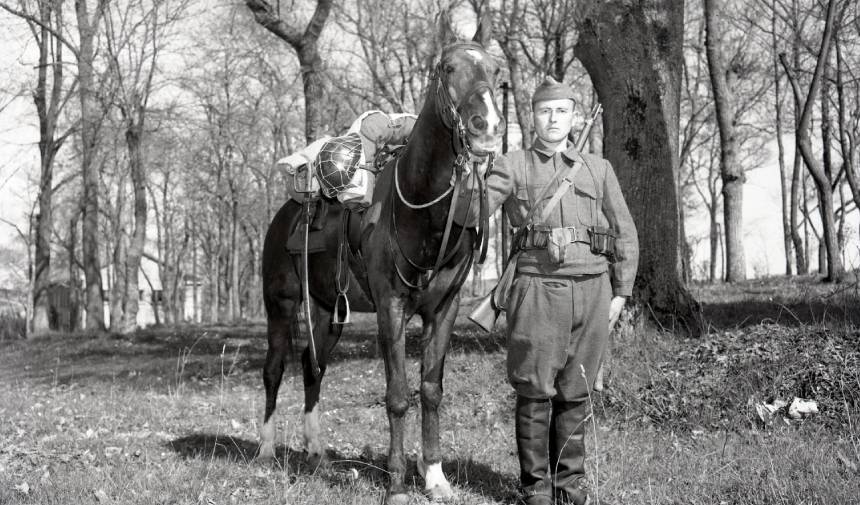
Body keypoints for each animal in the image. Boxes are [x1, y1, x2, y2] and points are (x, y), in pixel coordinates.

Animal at [258, 32, 508, 504]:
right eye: (448, 68)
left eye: (497, 72)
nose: (486, 124)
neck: (421, 213)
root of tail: (284, 214)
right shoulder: (390, 308)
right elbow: (397, 396)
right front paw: (396, 485)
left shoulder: (443, 310)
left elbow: (430, 390)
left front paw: (435, 477)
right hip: (279, 304)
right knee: (274, 369)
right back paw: (264, 450)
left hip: (327, 310)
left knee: (312, 366)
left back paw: (316, 452)